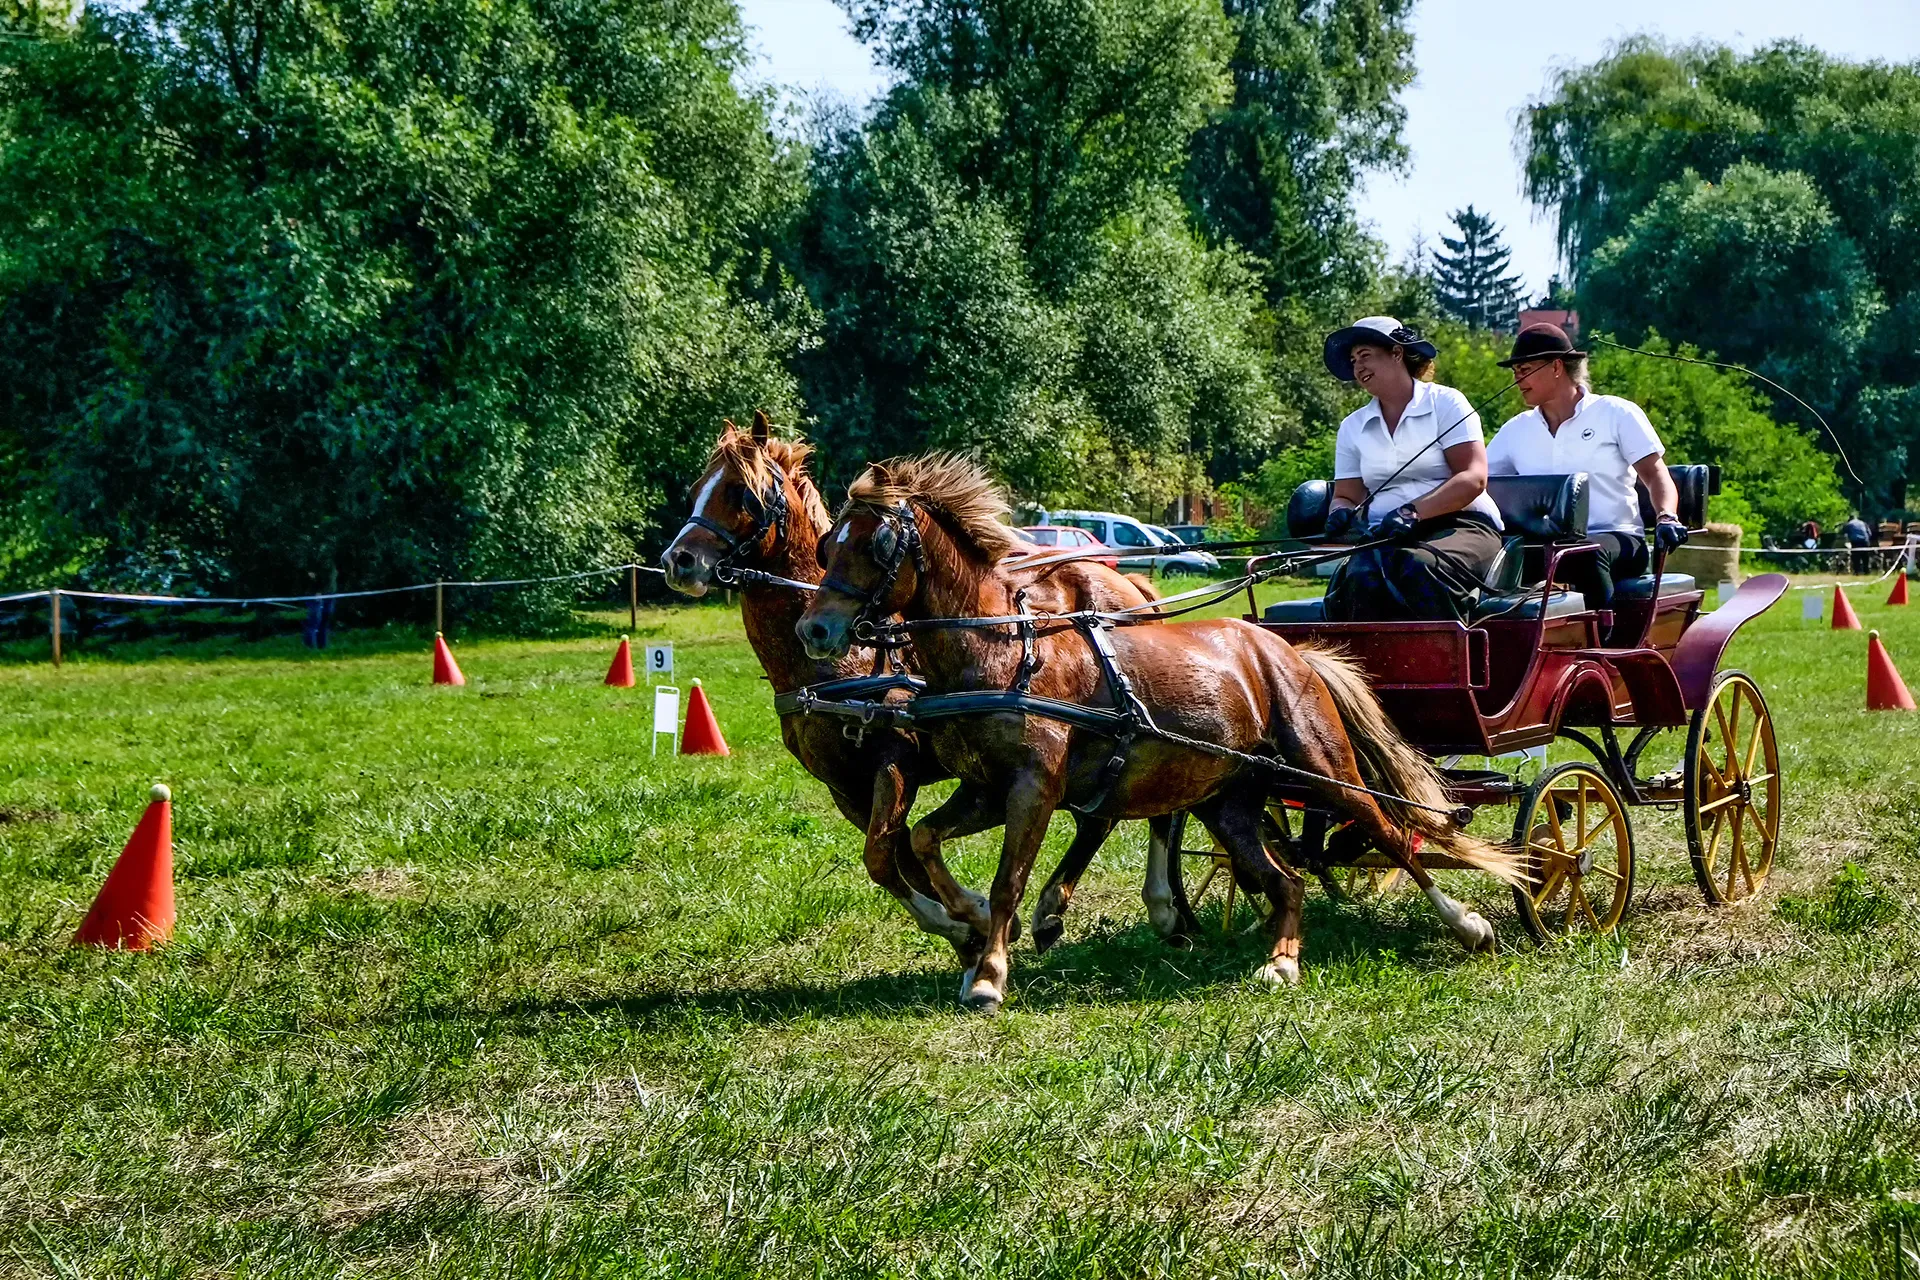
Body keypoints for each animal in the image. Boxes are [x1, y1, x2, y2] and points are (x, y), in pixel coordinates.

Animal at [660, 415, 1179, 958]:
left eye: (743, 493)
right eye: (696, 490)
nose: (679, 561)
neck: (843, 662)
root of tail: (1126, 583)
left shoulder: (897, 760)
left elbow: (882, 854)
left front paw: (971, 921)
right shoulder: (844, 786)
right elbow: (899, 856)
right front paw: (971, 929)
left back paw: (1147, 905)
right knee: (1100, 814)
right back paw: (1052, 912)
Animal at [796, 454, 1527, 1012]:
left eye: (877, 545)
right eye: (829, 544)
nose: (815, 630)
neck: (1004, 652)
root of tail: (1288, 652)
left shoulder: (1032, 787)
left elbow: (1009, 879)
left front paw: (989, 973)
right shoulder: (982, 789)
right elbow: (922, 838)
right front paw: (968, 921)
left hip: (1324, 769)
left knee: (1390, 833)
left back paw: (1466, 923)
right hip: (1230, 799)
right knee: (1285, 877)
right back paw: (1281, 960)